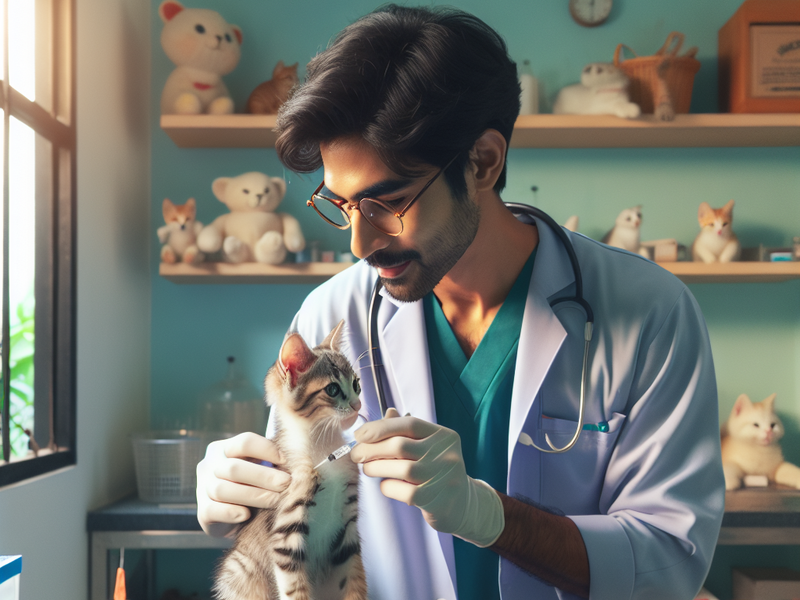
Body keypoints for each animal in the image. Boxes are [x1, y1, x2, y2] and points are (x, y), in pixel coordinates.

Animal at [209, 322, 366, 600]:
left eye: (356, 384)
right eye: (333, 389)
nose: (358, 405)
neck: (324, 447)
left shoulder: (348, 533)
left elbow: (355, 585)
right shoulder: (286, 535)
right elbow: (295, 591)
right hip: (238, 568)